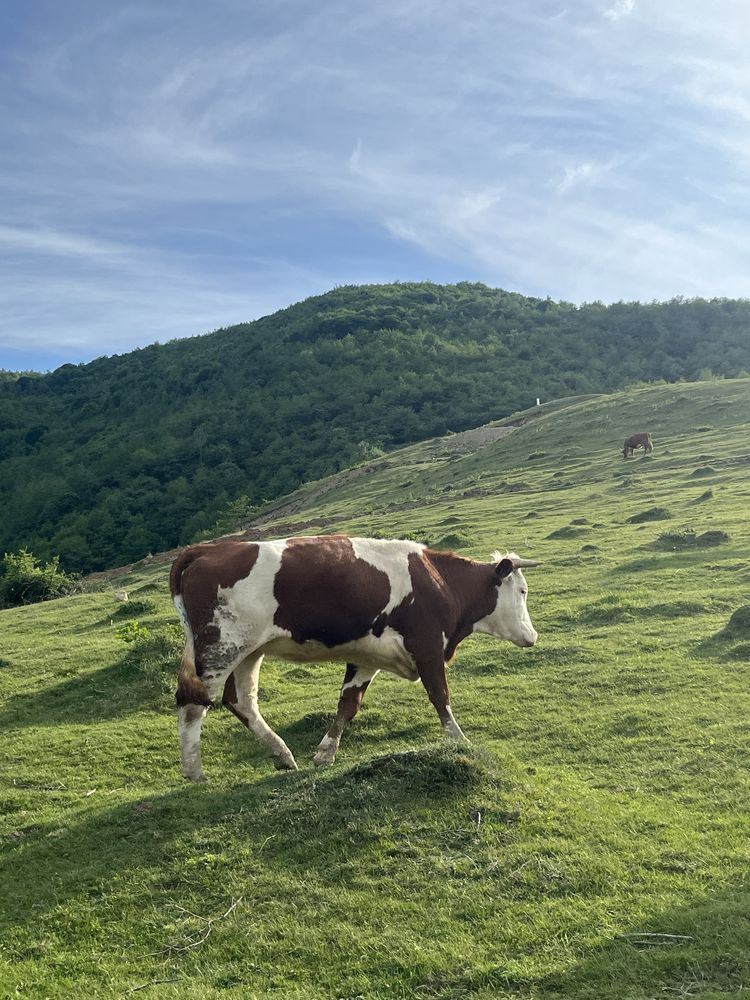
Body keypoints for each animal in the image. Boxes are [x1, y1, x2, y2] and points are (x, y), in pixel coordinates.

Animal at [170, 532, 540, 780]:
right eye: (522, 591)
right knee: (194, 704)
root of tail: (206, 549)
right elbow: (440, 696)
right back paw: (195, 771)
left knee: (241, 701)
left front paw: (325, 753)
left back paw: (283, 755)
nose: (533, 636)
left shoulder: (368, 658)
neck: (440, 582)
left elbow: (348, 705)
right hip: (220, 648)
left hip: (249, 651)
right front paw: (459, 740)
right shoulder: (427, 646)